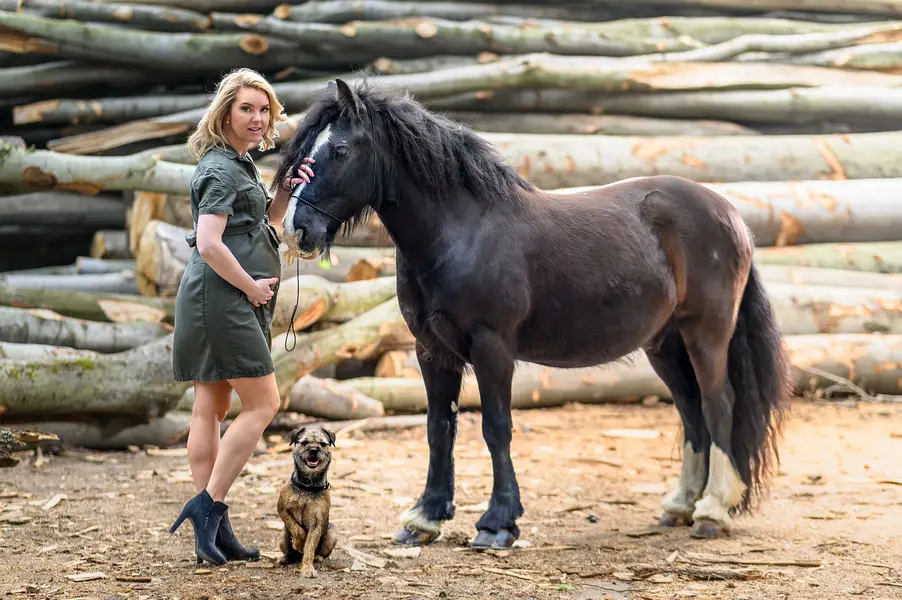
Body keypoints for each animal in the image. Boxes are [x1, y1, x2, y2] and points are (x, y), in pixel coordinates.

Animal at [274, 79, 792, 548]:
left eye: (340, 149)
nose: (297, 230)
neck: (463, 231)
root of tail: (729, 212)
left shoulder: (492, 348)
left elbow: (496, 427)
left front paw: (498, 523)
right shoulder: (432, 351)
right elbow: (439, 428)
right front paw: (425, 518)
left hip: (706, 332)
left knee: (718, 404)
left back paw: (712, 510)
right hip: (664, 343)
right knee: (690, 410)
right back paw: (680, 505)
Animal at [278, 424, 338, 580]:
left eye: (322, 444)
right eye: (304, 442)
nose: (313, 449)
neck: (308, 486)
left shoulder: (317, 523)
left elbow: (310, 547)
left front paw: (307, 568)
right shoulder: (282, 509)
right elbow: (296, 528)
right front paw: (299, 543)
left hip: (332, 532)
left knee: (320, 554)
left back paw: (318, 558)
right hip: (281, 536)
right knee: (290, 553)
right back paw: (285, 558)